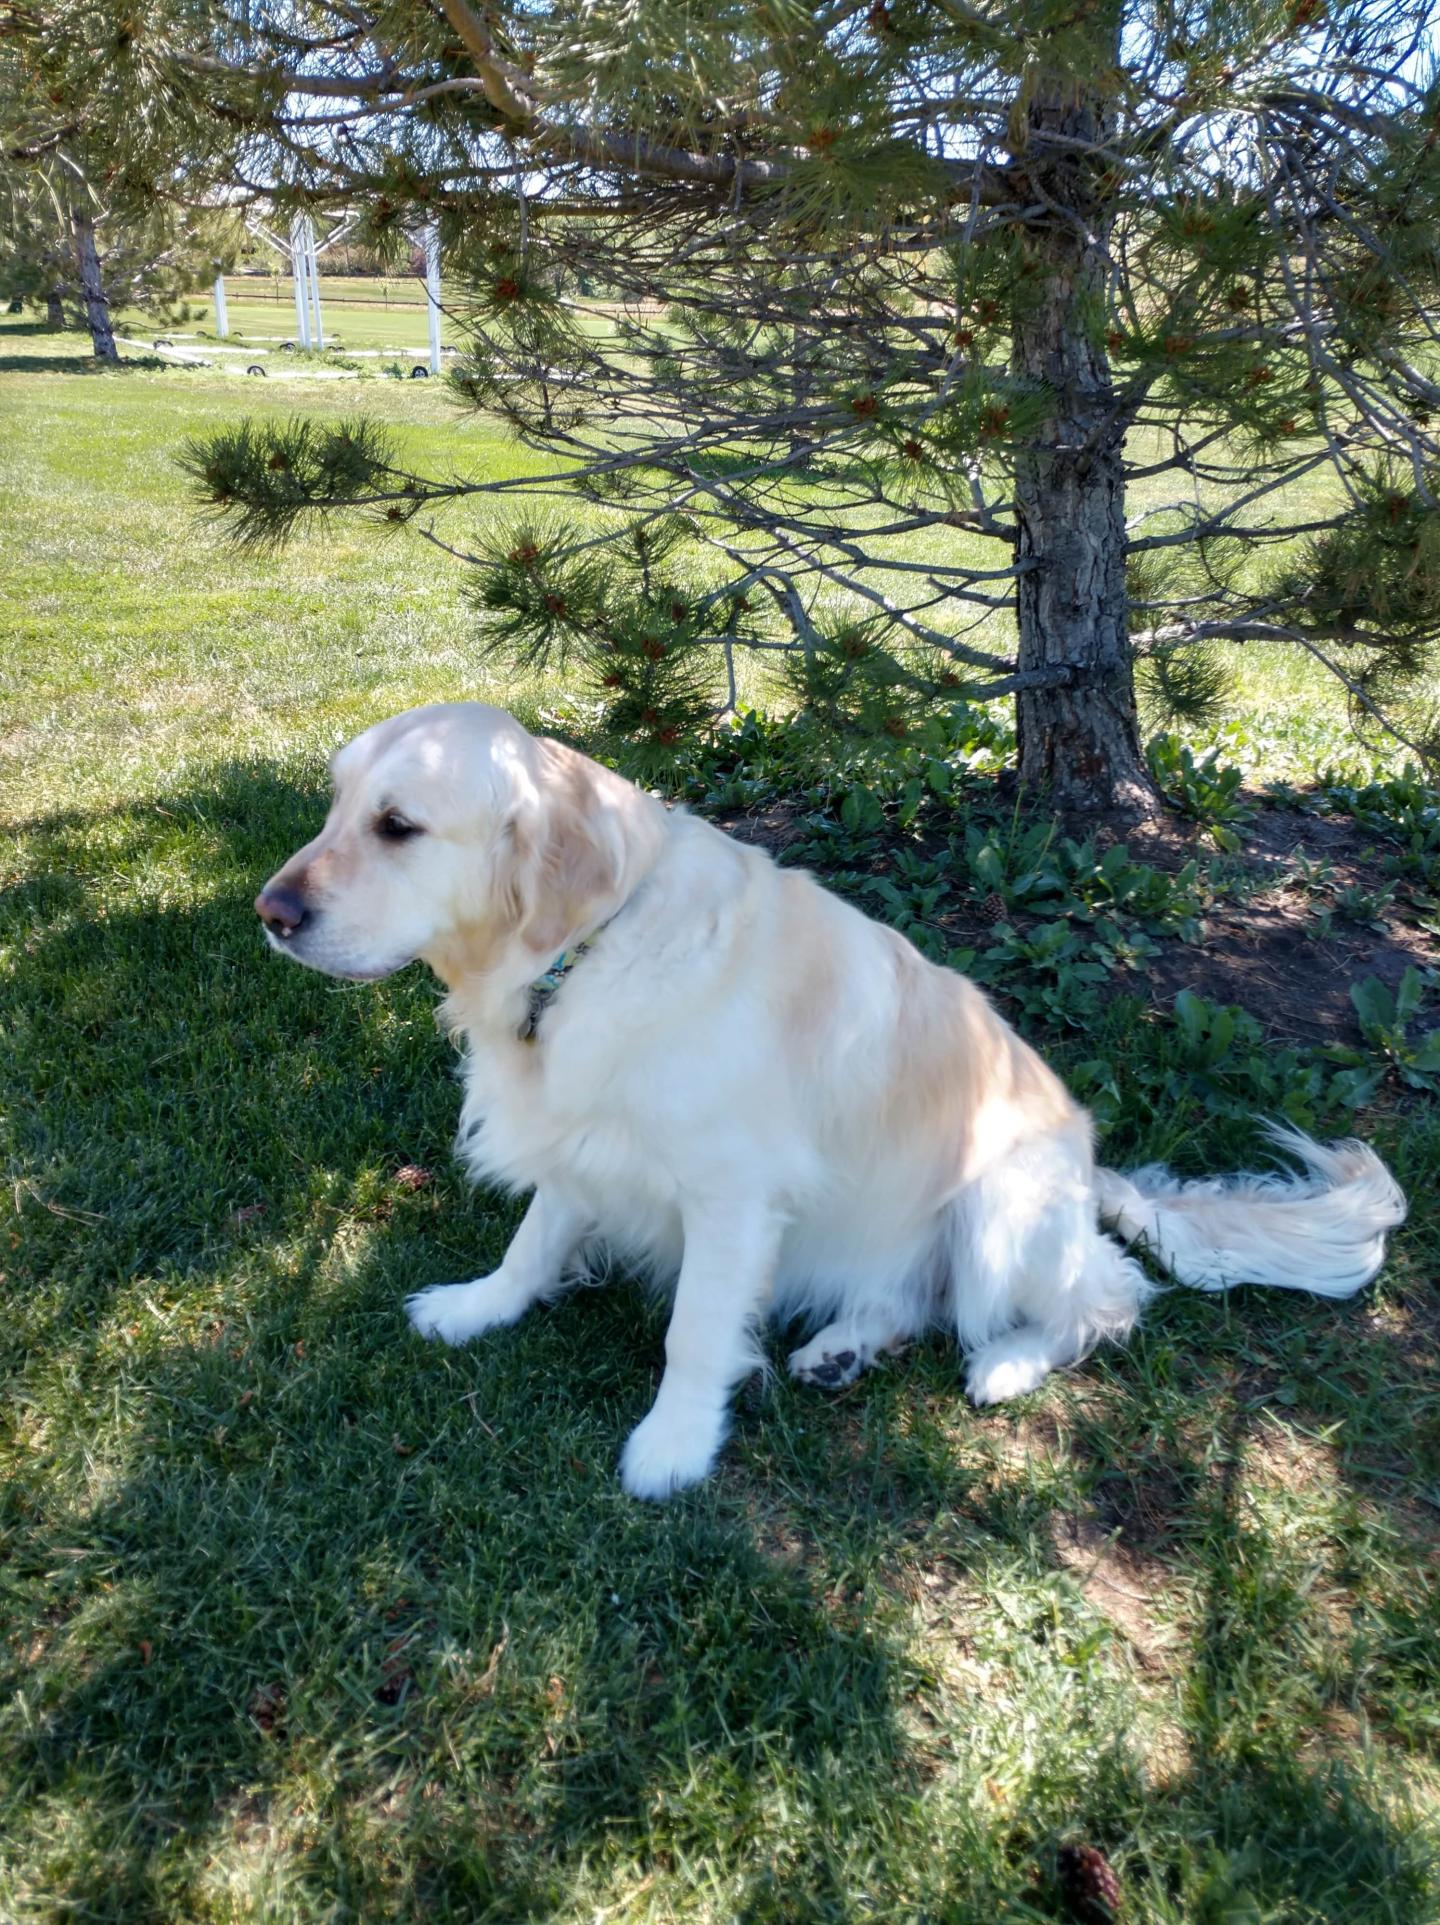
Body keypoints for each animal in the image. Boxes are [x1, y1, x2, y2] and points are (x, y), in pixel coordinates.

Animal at [256, 708, 1409, 1501]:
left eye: (399, 825)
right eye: (334, 804)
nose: (269, 912)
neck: (585, 953)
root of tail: (1091, 1175)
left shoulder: (730, 1195)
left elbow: (694, 1331)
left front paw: (673, 1445)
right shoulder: (583, 1135)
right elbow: (534, 1241)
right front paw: (476, 1305)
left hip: (1001, 1203)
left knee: (1103, 1299)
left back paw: (1005, 1362)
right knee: (911, 1297)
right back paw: (841, 1347)